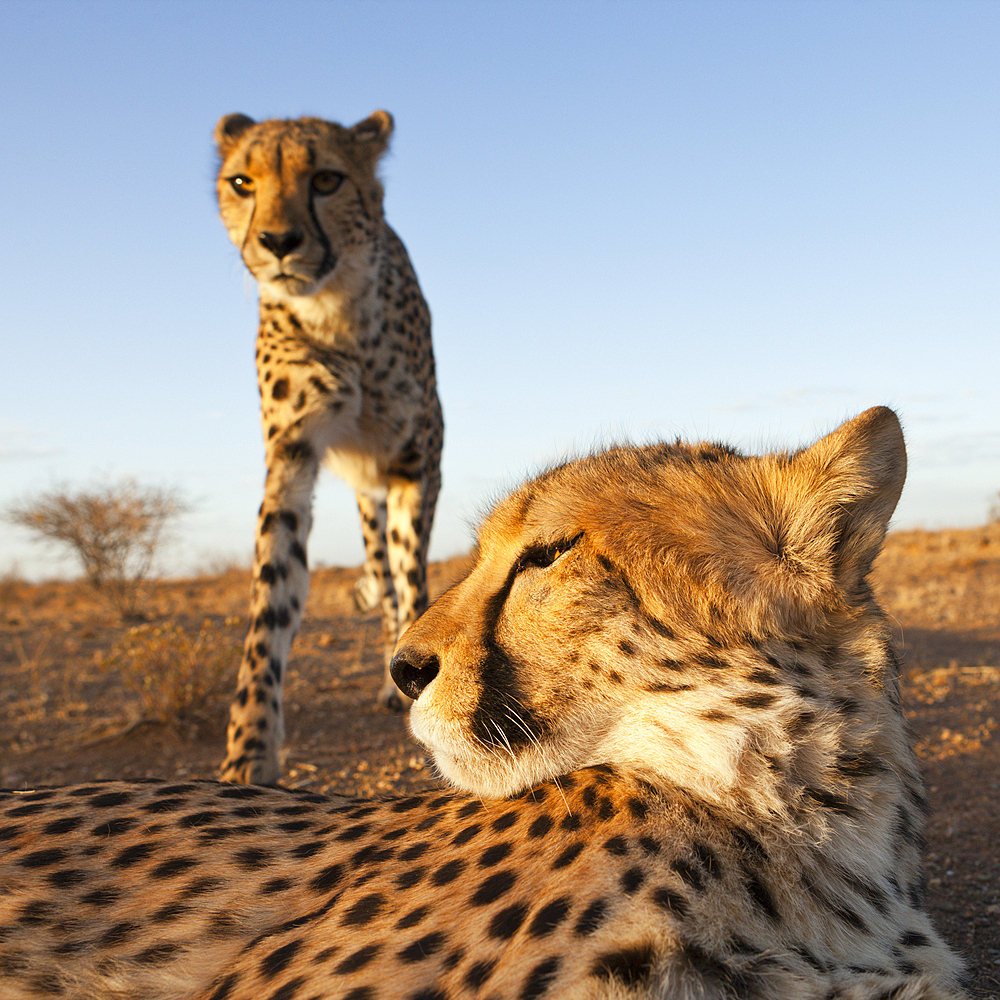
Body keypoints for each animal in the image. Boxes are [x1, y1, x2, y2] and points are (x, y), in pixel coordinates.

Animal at [213, 111, 444, 788]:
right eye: (242, 181)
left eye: (326, 179)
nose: (278, 241)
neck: (335, 308)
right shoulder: (290, 460)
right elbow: (271, 600)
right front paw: (249, 750)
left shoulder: (414, 463)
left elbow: (412, 575)